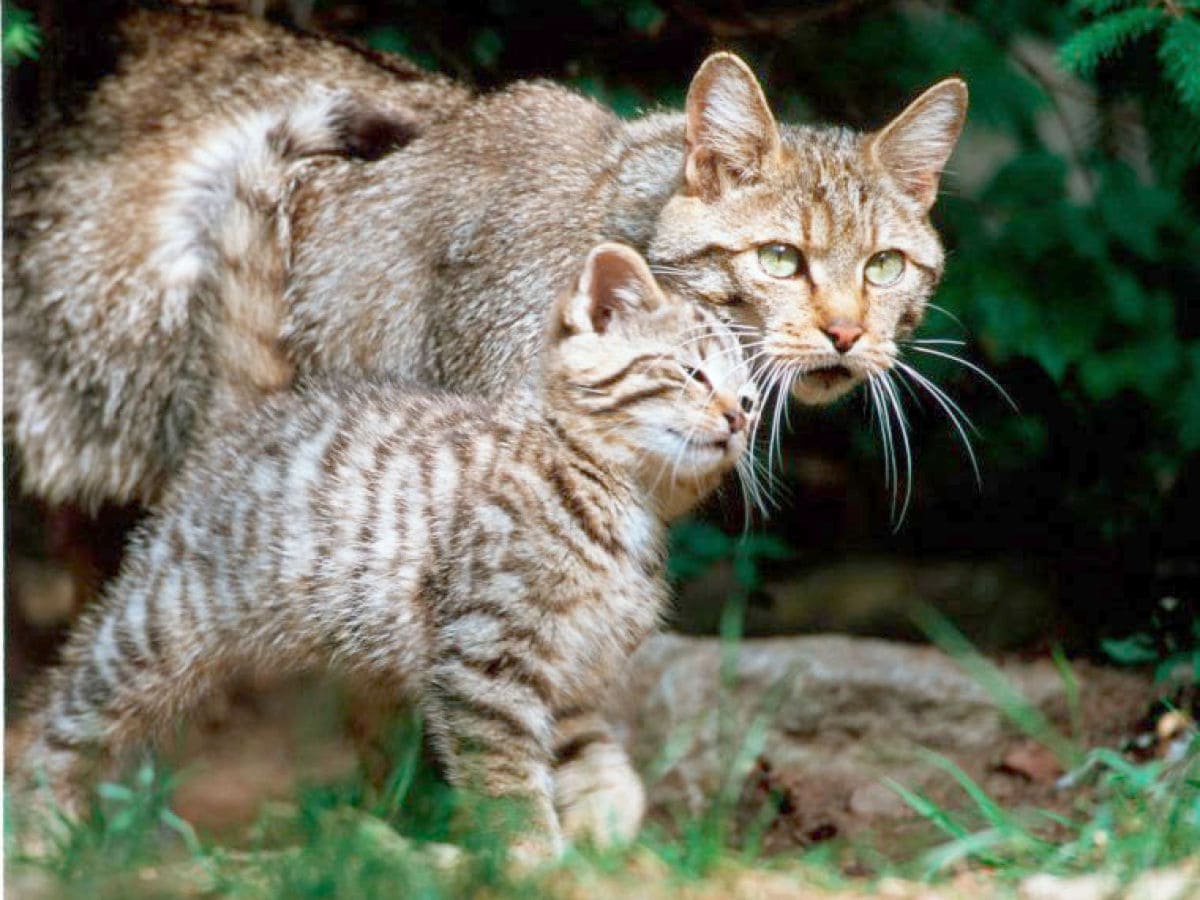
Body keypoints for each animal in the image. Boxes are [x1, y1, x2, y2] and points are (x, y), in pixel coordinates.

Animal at [9, 160, 753, 854]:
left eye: (747, 397)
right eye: (691, 374)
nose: (738, 420)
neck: (617, 496)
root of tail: (257, 409)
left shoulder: (565, 673)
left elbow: (587, 755)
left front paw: (603, 831)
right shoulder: (485, 656)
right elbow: (505, 776)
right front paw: (528, 857)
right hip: (157, 622)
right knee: (61, 715)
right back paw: (40, 833)